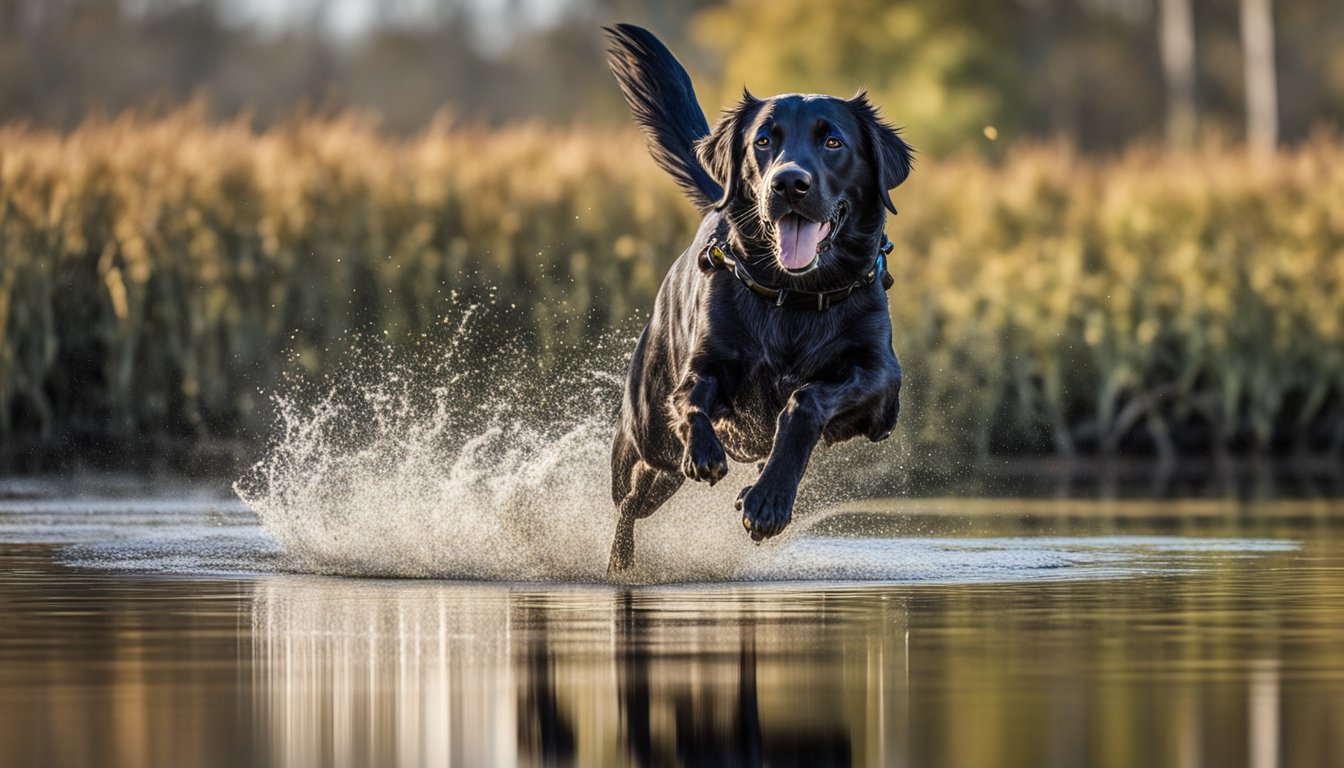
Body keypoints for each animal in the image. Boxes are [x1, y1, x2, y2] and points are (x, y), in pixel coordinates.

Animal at [607, 24, 913, 572]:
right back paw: (618, 561)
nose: (789, 182)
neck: (795, 296)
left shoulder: (882, 389)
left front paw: (767, 500)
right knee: (627, 498)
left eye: (833, 141)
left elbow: (805, 402)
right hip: (648, 440)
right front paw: (706, 450)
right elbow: (693, 397)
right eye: (764, 141)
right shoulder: (705, 364)